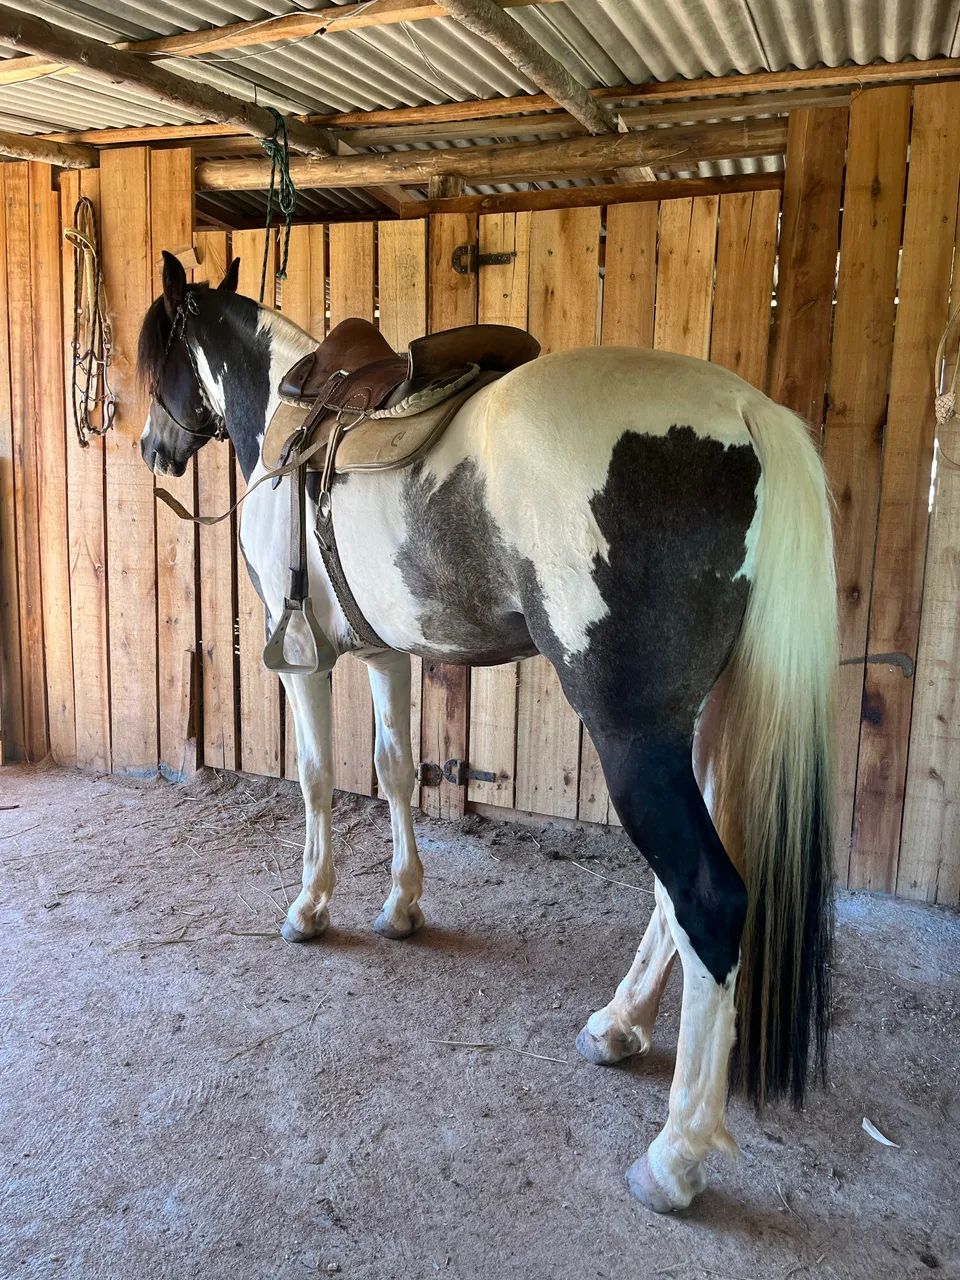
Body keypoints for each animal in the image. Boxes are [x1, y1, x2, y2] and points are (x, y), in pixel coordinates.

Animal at [137, 250, 837, 1213]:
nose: (151, 446)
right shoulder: (386, 653)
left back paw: (675, 1156)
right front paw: (401, 906)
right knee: (675, 898)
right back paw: (618, 1026)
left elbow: (318, 781)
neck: (288, 411)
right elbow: (395, 769)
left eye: (156, 355)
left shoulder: (303, 663)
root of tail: (746, 412)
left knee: (707, 895)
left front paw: (311, 907)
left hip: (633, 739)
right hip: (691, 728)